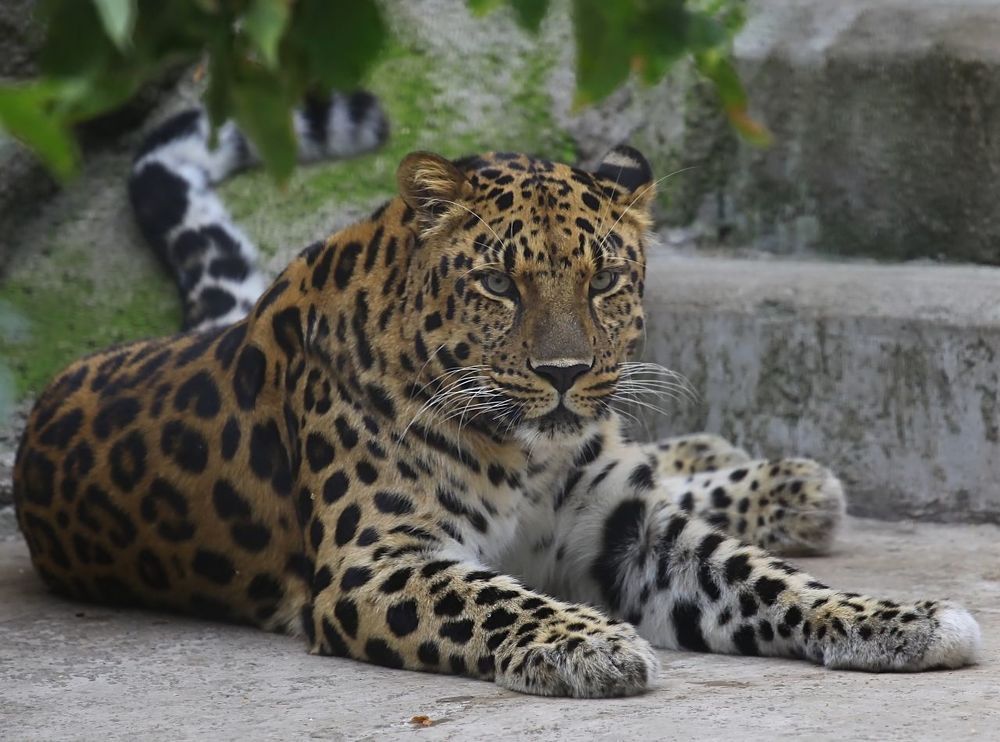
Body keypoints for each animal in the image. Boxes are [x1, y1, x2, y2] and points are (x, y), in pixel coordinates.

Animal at [12, 114, 981, 697]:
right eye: (498, 284)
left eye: (605, 280)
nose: (563, 373)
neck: (527, 453)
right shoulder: (376, 561)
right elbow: (496, 600)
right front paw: (590, 644)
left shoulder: (626, 528)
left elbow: (760, 578)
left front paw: (900, 621)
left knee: (666, 468)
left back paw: (766, 476)